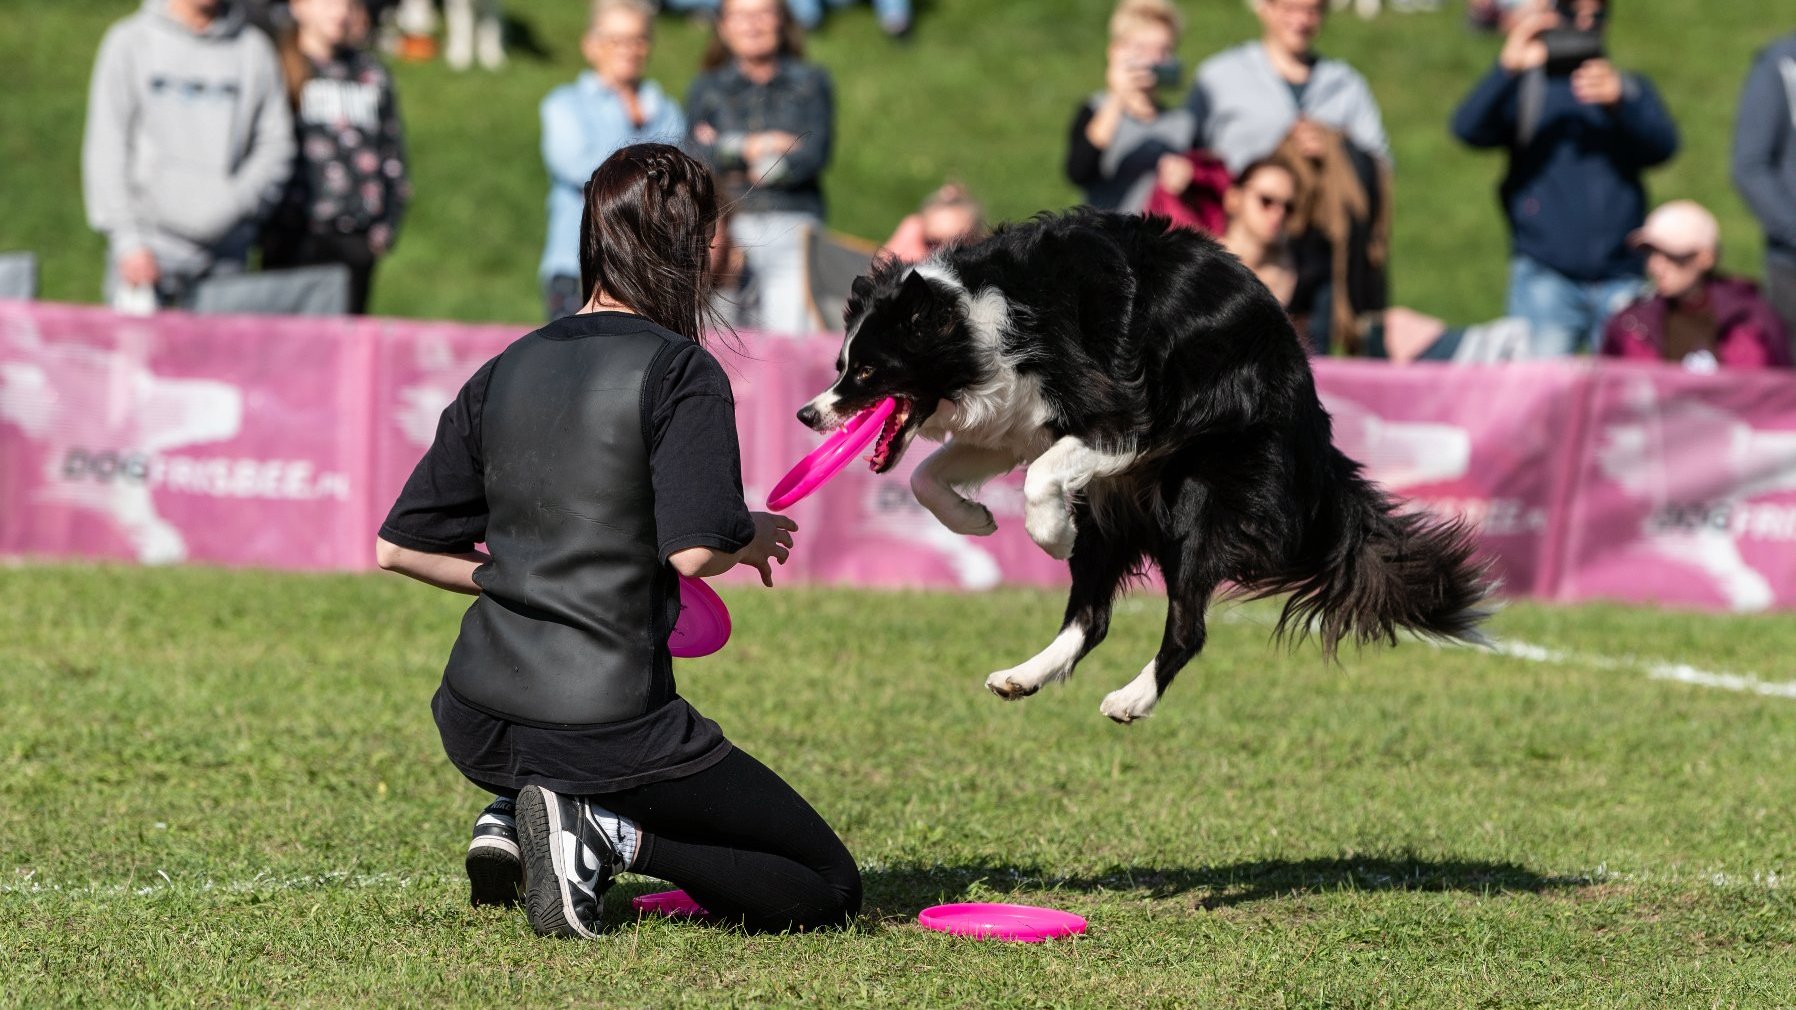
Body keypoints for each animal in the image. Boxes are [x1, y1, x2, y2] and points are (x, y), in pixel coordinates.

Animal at [797, 208, 1487, 718]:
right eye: (840, 366)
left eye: (867, 372)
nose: (807, 415)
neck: (975, 314)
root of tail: (1312, 420)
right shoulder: (1015, 416)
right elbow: (924, 475)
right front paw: (976, 521)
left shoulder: (1126, 413)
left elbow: (1043, 473)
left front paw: (1048, 536)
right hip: (1119, 508)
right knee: (1093, 615)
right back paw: (1024, 675)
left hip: (1199, 498)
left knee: (1186, 625)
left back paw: (1131, 698)